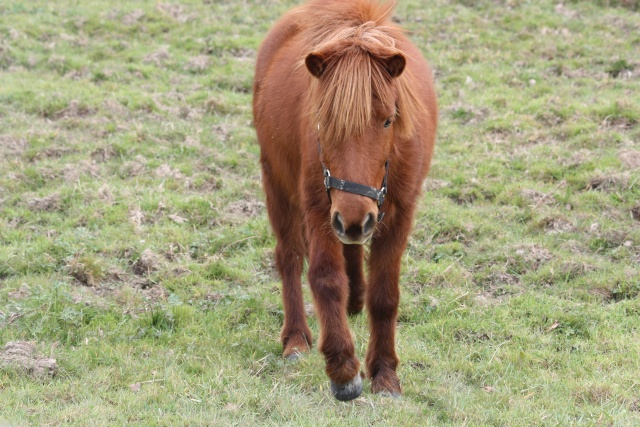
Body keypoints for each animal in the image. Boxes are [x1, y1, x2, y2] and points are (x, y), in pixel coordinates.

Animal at [252, 0, 438, 402]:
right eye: (323, 121)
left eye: (388, 121)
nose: (354, 216)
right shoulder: (319, 209)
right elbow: (325, 278)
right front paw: (343, 371)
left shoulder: (400, 213)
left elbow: (385, 295)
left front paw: (385, 374)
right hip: (276, 182)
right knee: (289, 256)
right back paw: (295, 338)